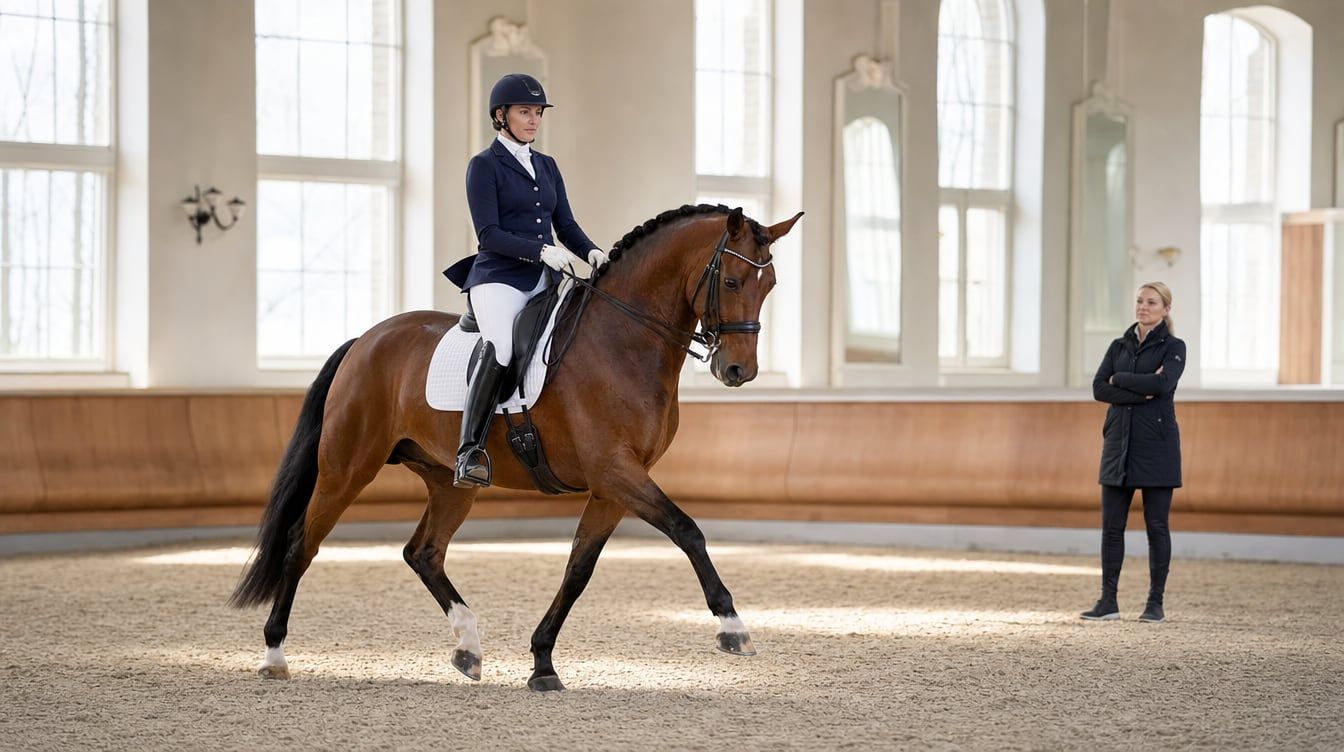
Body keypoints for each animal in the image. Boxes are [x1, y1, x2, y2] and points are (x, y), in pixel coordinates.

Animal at [229, 203, 803, 691]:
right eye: (730, 280)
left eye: (771, 284)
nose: (738, 370)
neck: (624, 340)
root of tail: (365, 340)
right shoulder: (616, 472)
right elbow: (688, 530)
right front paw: (732, 625)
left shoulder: (613, 485)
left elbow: (578, 569)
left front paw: (543, 662)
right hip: (348, 466)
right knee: (303, 543)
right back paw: (274, 655)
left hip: (450, 481)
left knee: (424, 552)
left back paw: (468, 646)